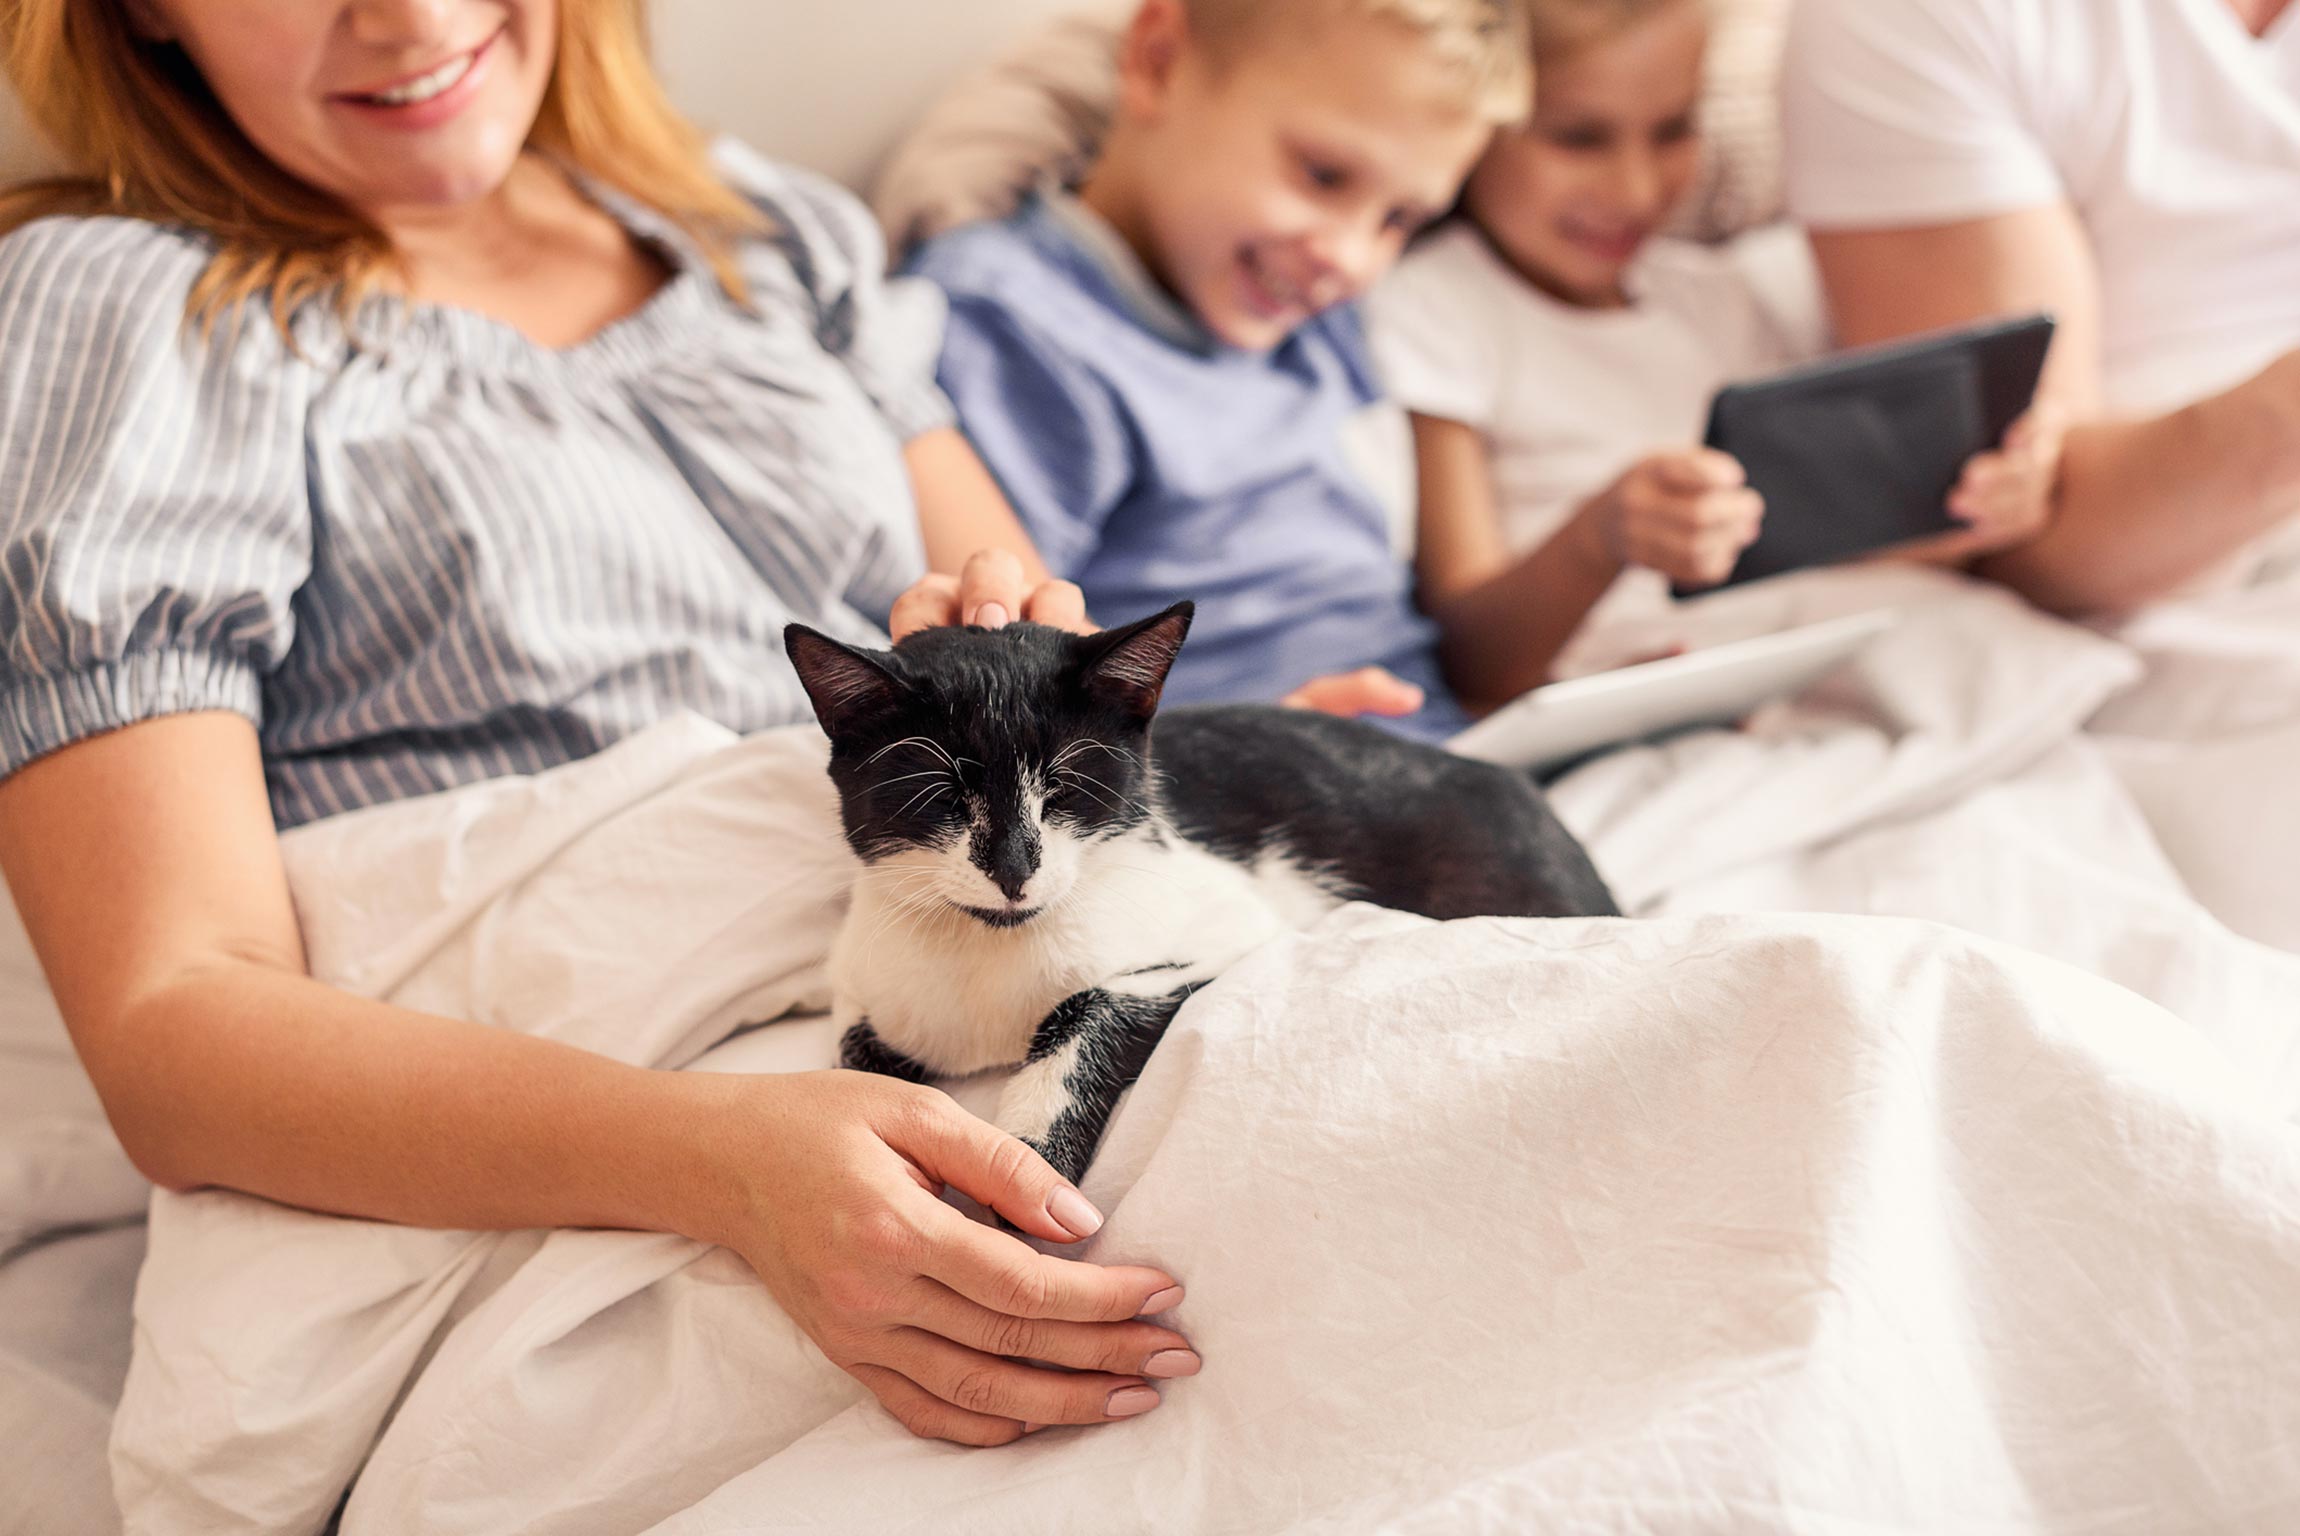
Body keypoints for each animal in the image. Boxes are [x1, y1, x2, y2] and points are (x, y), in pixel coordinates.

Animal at [791, 607, 1619, 1186]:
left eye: (1067, 789)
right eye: (939, 797)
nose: (1014, 869)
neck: (988, 946)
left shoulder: (1237, 924)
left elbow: (1096, 1000)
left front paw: (1034, 1148)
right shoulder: (862, 981)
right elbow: (854, 1060)